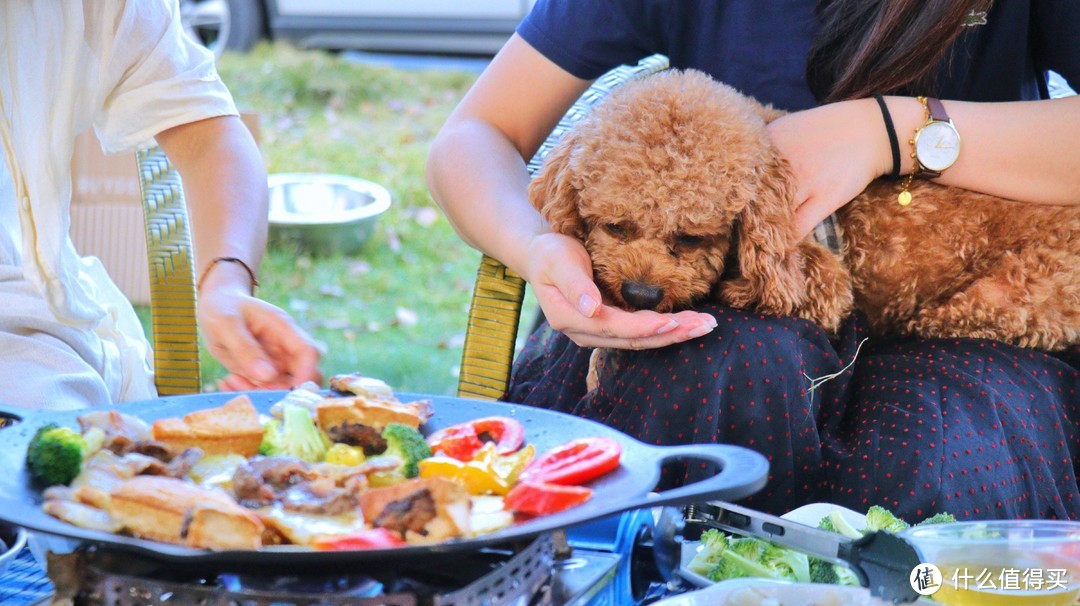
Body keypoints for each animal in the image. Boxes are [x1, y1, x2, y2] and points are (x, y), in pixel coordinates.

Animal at [531, 69, 1080, 349]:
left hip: (1008, 297)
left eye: (691, 238)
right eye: (615, 227)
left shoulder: (820, 282)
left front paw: (737, 289)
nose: (640, 294)